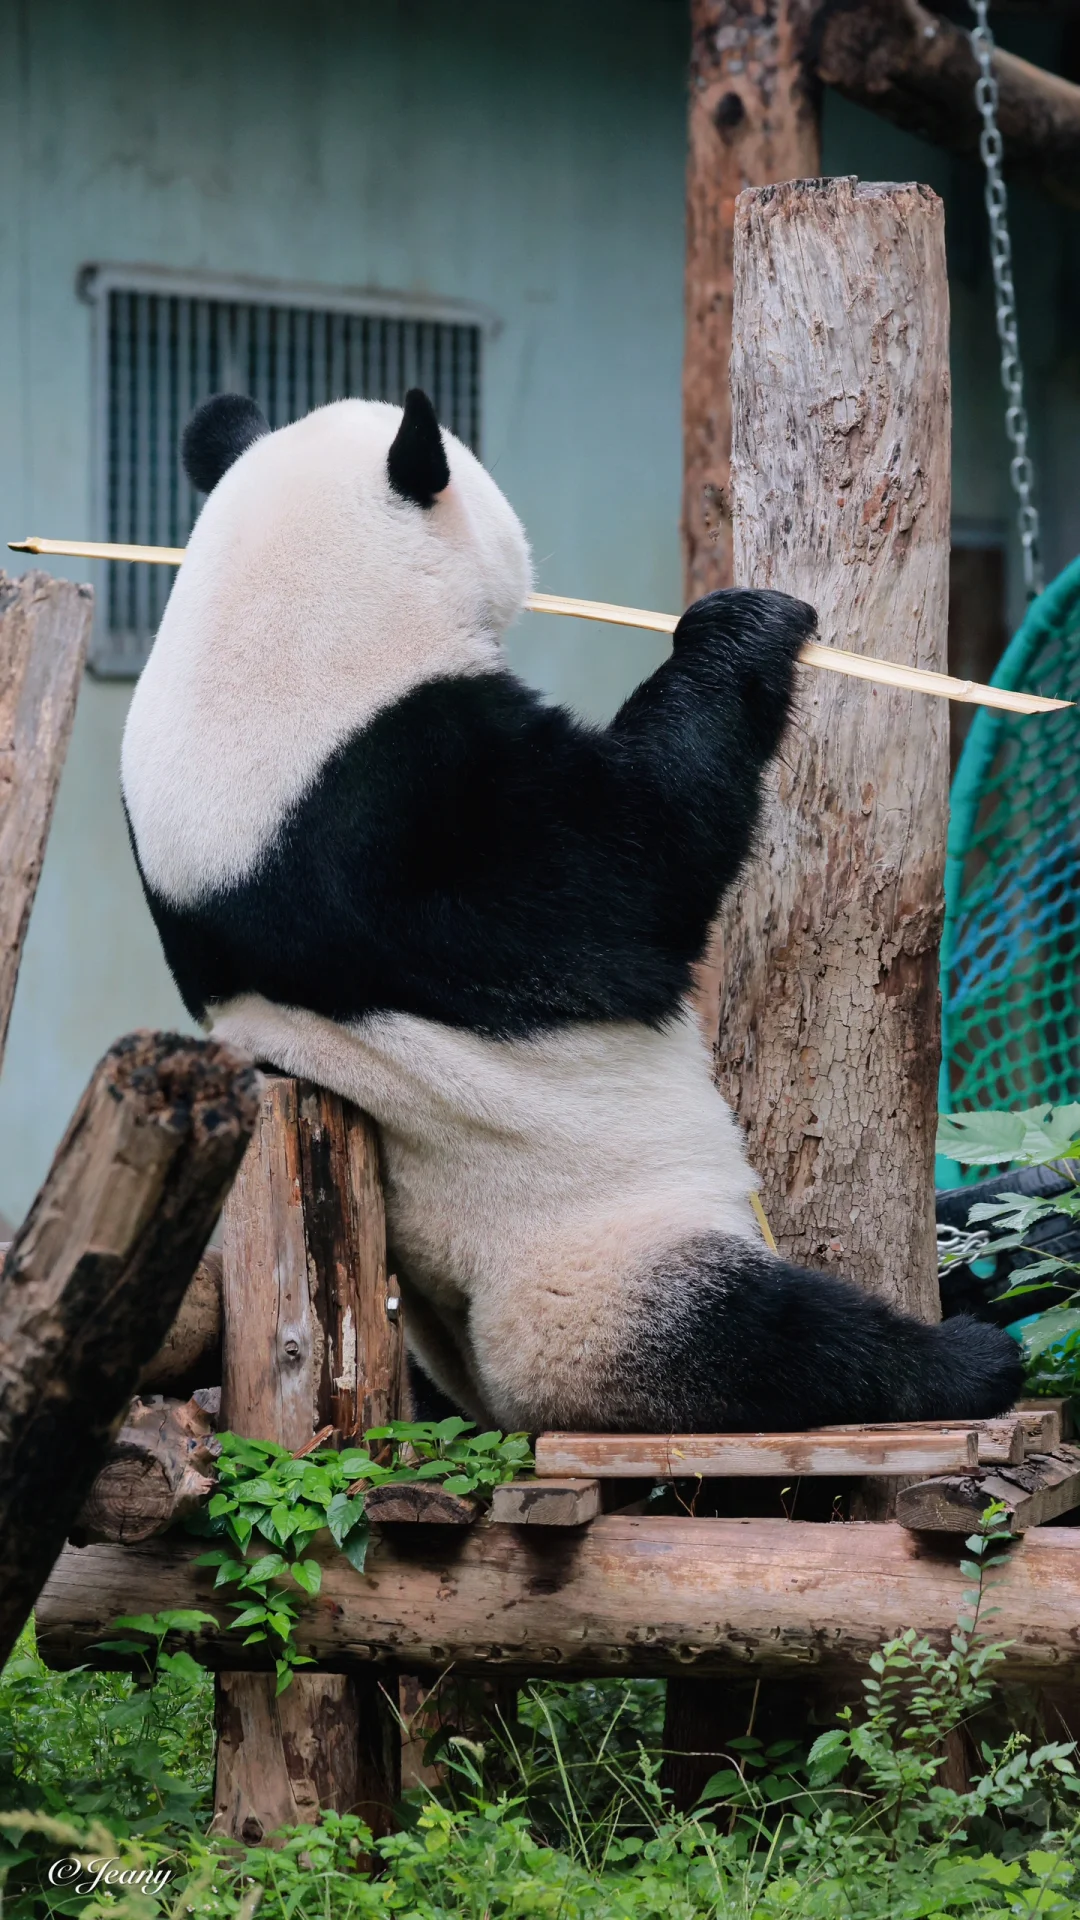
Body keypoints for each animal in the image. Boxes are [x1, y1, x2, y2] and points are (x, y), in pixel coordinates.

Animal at [119, 389, 1014, 1436]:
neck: (276, 626)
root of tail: (482, 1385)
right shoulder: (403, 812)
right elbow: (632, 872)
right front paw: (745, 626)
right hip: (588, 1265)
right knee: (750, 1336)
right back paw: (958, 1360)